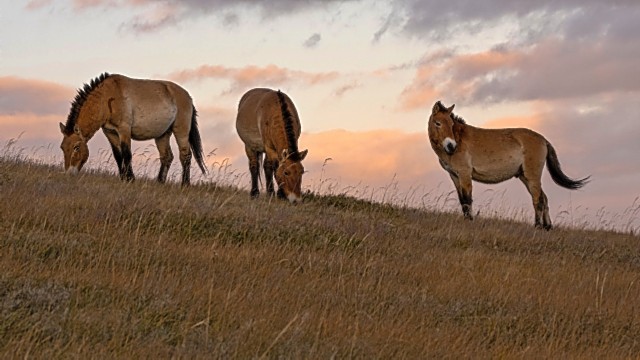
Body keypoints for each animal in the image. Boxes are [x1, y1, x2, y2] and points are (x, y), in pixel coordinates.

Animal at [59, 73, 206, 186]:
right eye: (62, 147)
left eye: (76, 147)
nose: (69, 174)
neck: (107, 98)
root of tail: (188, 97)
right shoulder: (110, 133)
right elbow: (118, 156)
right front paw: (123, 178)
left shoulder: (124, 130)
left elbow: (127, 154)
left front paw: (130, 179)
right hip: (162, 135)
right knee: (167, 156)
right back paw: (160, 182)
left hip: (181, 131)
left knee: (185, 155)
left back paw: (185, 184)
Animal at [428, 100, 588, 231]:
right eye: (438, 123)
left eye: (451, 124)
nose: (451, 146)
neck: (459, 139)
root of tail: (543, 139)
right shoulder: (455, 176)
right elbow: (462, 200)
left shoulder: (465, 174)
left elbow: (467, 200)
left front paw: (470, 221)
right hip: (525, 177)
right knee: (544, 198)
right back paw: (547, 227)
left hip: (532, 177)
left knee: (538, 199)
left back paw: (537, 226)